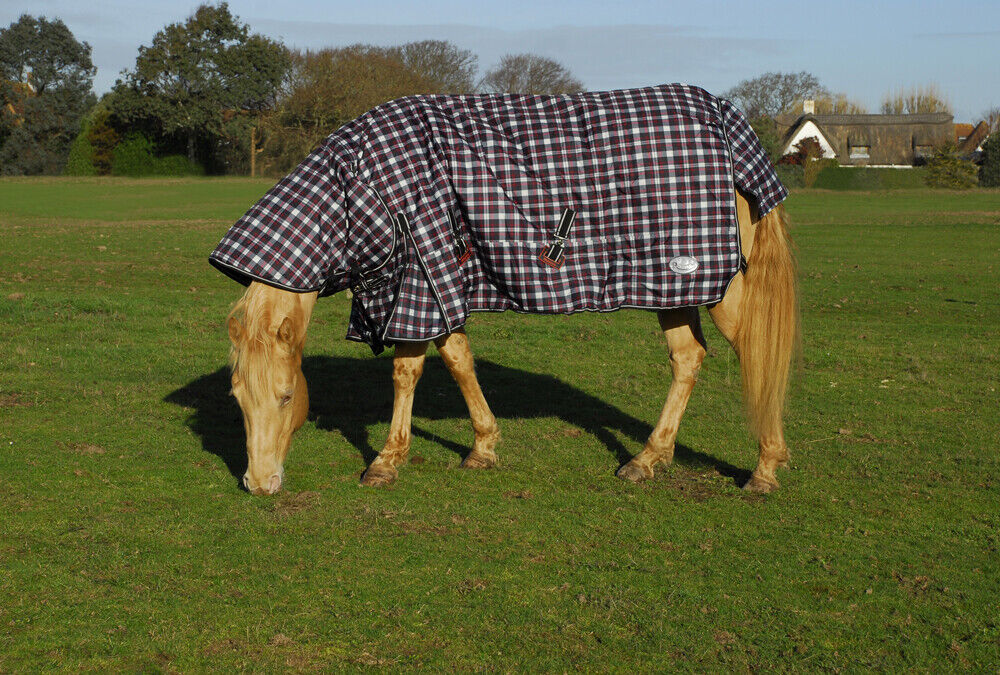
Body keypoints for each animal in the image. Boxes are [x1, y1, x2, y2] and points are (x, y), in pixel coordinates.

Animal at [225, 189, 796, 496]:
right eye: (237, 400)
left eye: (285, 397)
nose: (258, 484)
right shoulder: (431, 287)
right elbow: (450, 360)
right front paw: (479, 447)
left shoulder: (415, 281)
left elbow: (412, 369)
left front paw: (386, 460)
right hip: (674, 287)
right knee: (687, 358)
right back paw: (649, 458)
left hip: (722, 290)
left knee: (757, 358)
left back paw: (765, 470)